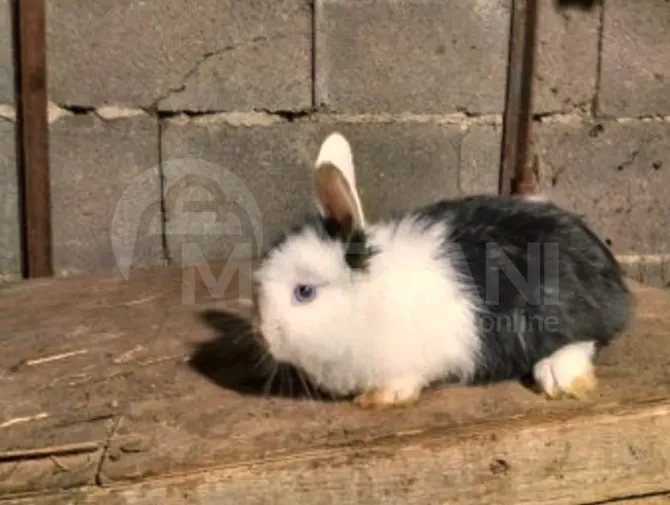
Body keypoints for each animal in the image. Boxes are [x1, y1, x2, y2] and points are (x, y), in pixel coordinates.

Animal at [252, 131, 636, 410]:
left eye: (304, 292)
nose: (265, 338)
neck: (368, 301)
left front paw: (382, 398)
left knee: (588, 338)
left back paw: (558, 377)